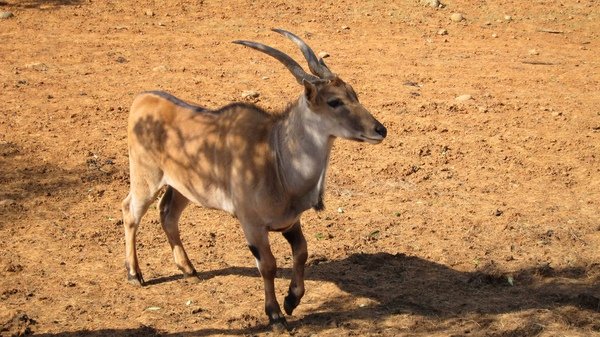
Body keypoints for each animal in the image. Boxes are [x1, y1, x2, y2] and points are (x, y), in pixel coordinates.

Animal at [122, 29, 386, 328]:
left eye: (354, 94)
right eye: (334, 101)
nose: (380, 129)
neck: (275, 156)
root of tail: (142, 99)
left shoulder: (289, 223)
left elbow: (302, 252)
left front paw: (291, 300)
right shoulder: (252, 225)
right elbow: (268, 265)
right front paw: (275, 314)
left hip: (182, 189)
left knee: (167, 214)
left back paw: (188, 269)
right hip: (146, 179)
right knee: (130, 212)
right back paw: (134, 274)